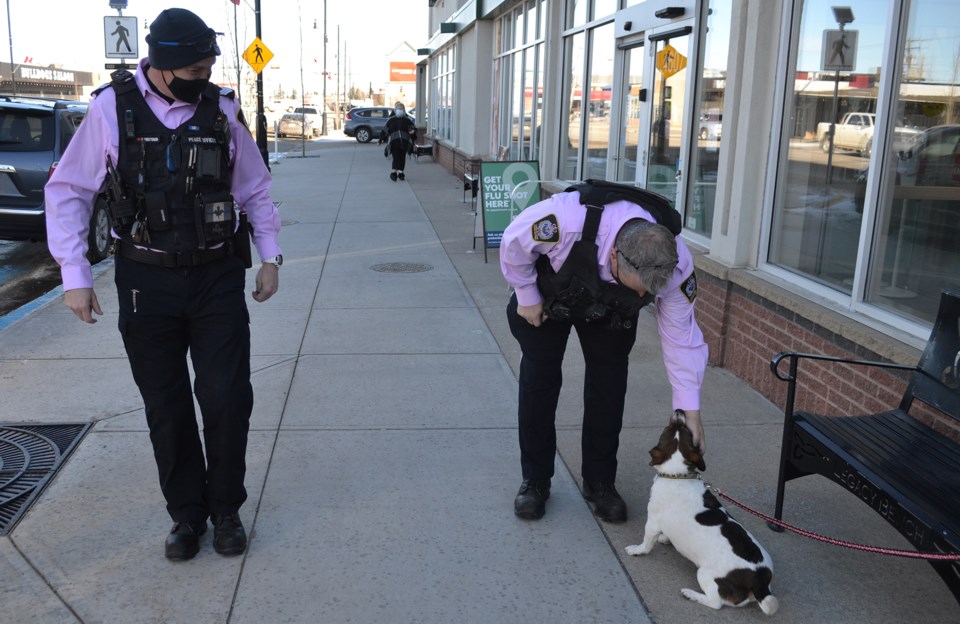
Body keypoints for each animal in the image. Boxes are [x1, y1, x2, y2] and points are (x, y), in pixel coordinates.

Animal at [628, 420, 776, 616]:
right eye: (685, 431)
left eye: (668, 428)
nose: (679, 416)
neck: (678, 475)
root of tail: (759, 580)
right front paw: (665, 538)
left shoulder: (652, 522)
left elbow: (646, 543)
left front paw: (636, 550)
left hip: (705, 574)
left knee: (716, 603)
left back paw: (691, 594)